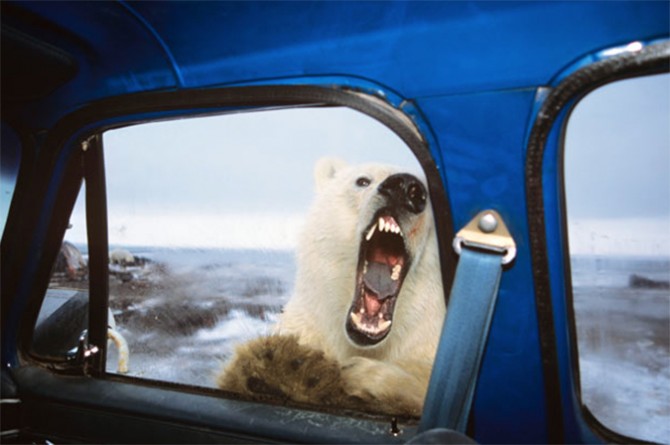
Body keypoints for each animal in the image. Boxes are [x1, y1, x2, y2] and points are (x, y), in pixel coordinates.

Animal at [217, 158, 446, 417]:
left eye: (430, 193)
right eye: (362, 180)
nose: (405, 187)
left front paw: (363, 377)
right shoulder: (308, 326)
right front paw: (283, 368)